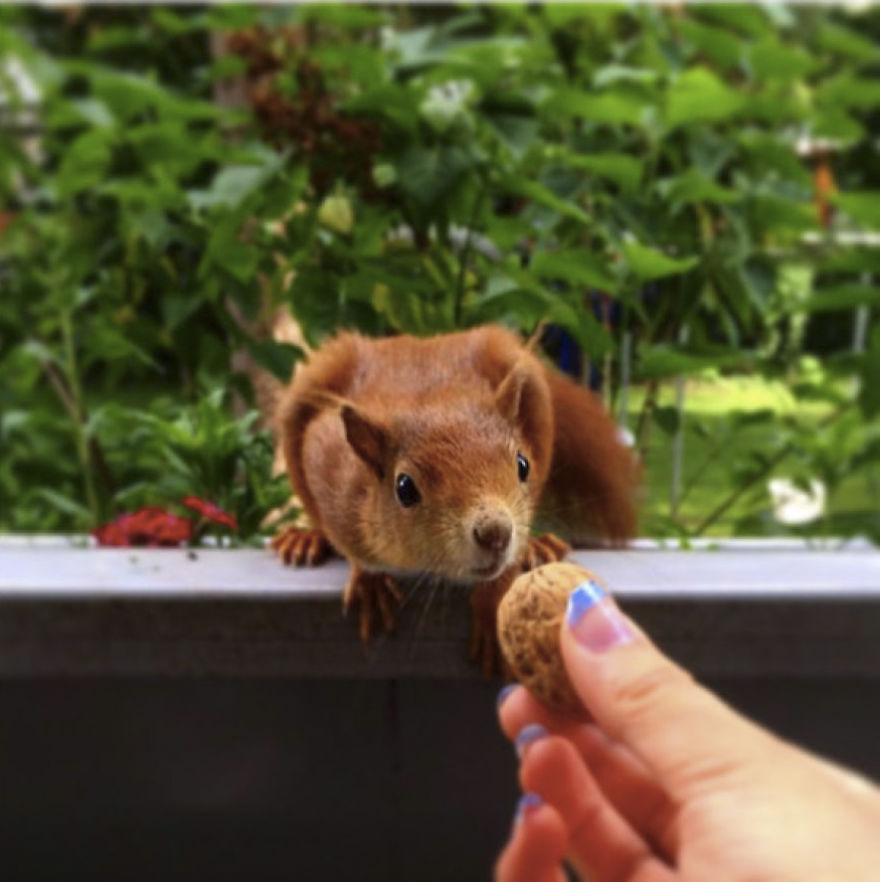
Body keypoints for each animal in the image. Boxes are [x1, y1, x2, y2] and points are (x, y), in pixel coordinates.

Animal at [270, 324, 638, 672]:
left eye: (523, 465)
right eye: (404, 488)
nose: (495, 533)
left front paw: (495, 596)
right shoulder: (327, 460)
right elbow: (346, 540)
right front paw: (369, 581)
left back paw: (538, 546)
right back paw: (305, 539)